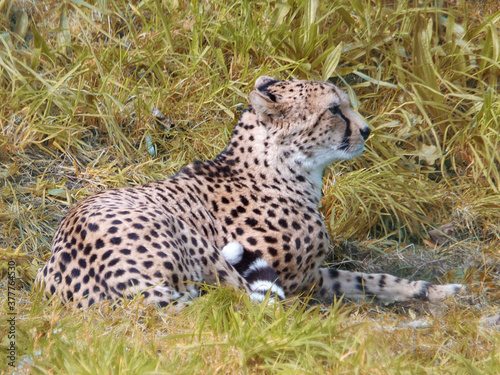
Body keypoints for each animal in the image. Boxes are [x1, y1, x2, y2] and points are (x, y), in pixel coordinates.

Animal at [34, 75, 460, 308]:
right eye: (334, 109)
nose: (368, 130)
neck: (287, 168)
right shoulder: (297, 281)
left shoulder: (310, 273)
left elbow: (368, 279)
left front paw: (433, 291)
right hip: (200, 250)